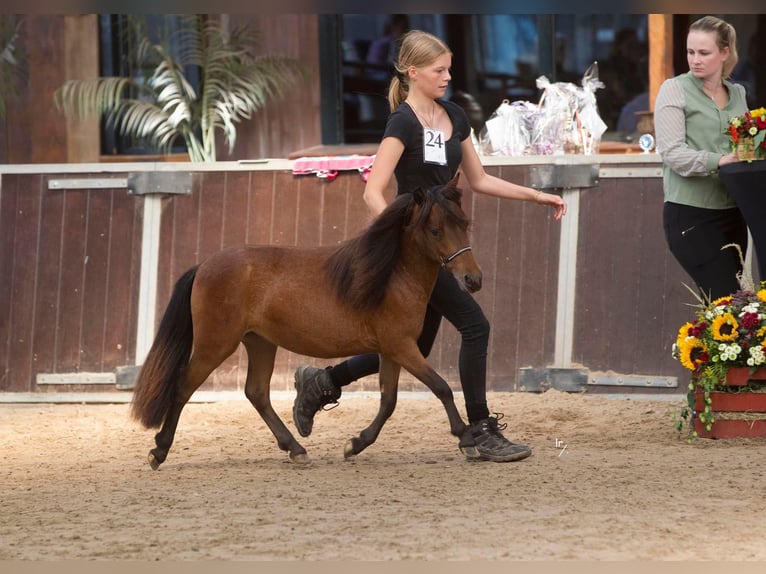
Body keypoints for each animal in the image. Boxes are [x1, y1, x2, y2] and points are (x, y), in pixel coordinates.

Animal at [129, 178, 484, 470]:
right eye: (436, 230)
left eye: (465, 223)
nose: (473, 279)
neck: (391, 276)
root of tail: (204, 266)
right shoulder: (401, 346)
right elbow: (440, 387)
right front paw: (466, 439)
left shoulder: (393, 350)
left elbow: (388, 401)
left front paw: (355, 444)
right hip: (215, 345)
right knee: (183, 387)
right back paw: (159, 451)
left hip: (260, 342)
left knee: (256, 392)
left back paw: (295, 448)